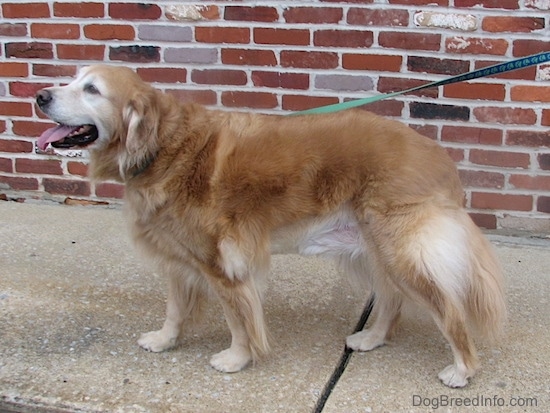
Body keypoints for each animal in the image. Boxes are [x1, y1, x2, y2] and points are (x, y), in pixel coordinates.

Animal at [35, 64, 508, 386]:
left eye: (91, 89)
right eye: (72, 79)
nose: (39, 95)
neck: (163, 146)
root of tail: (439, 154)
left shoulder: (224, 264)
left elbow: (239, 319)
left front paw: (236, 359)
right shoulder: (179, 259)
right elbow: (174, 309)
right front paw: (165, 340)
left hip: (401, 251)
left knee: (449, 311)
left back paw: (463, 368)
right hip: (372, 249)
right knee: (391, 300)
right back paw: (373, 338)